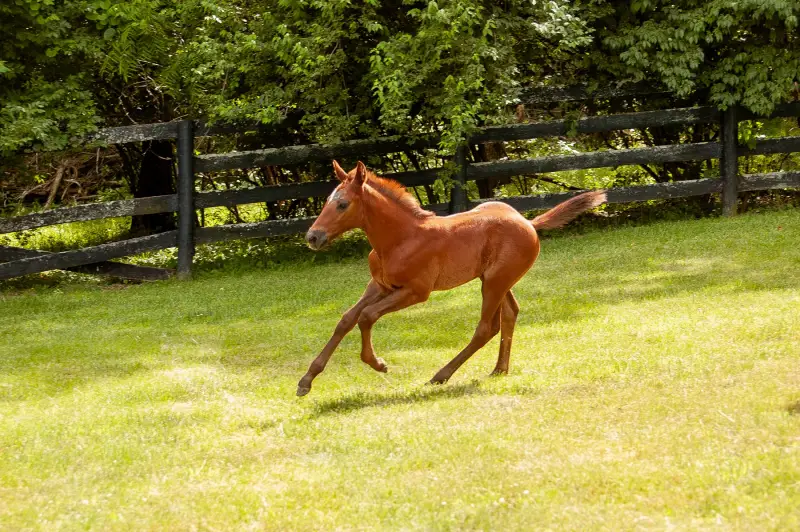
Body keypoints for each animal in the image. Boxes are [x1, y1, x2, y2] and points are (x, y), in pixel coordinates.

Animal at [296, 160, 606, 396]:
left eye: (342, 204)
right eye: (327, 202)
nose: (313, 237)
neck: (400, 238)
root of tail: (528, 222)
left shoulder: (416, 291)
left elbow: (366, 316)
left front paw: (378, 363)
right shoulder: (379, 285)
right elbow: (346, 319)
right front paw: (306, 380)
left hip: (494, 283)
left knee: (485, 328)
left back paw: (440, 376)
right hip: (494, 280)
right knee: (510, 314)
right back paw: (499, 369)